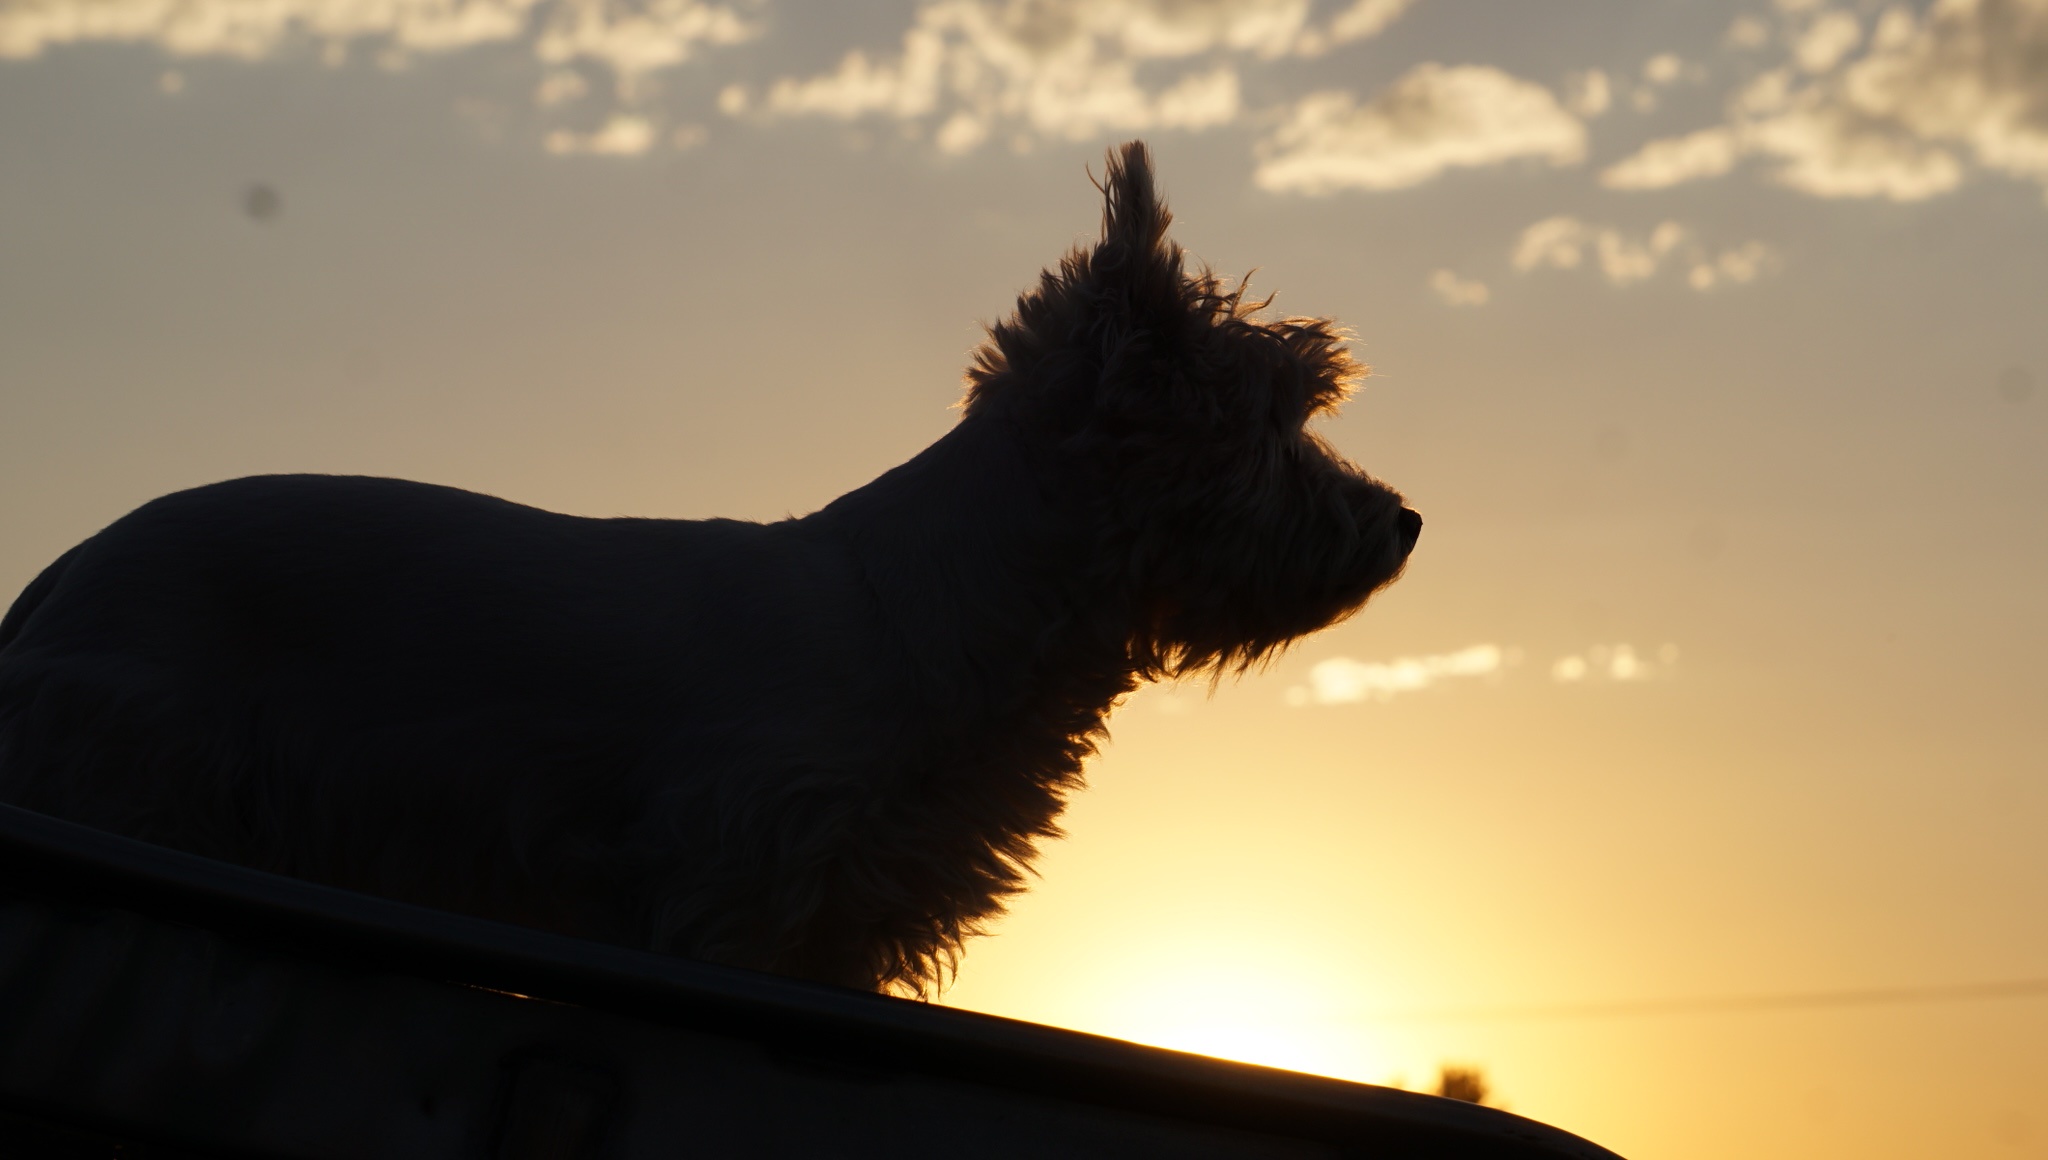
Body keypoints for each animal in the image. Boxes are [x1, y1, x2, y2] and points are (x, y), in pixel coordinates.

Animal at [0, 143, 1417, 1000]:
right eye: (1279, 417)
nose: (1401, 522)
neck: (948, 622)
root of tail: (55, 582)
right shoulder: (737, 881)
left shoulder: (847, 917)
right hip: (133, 773)